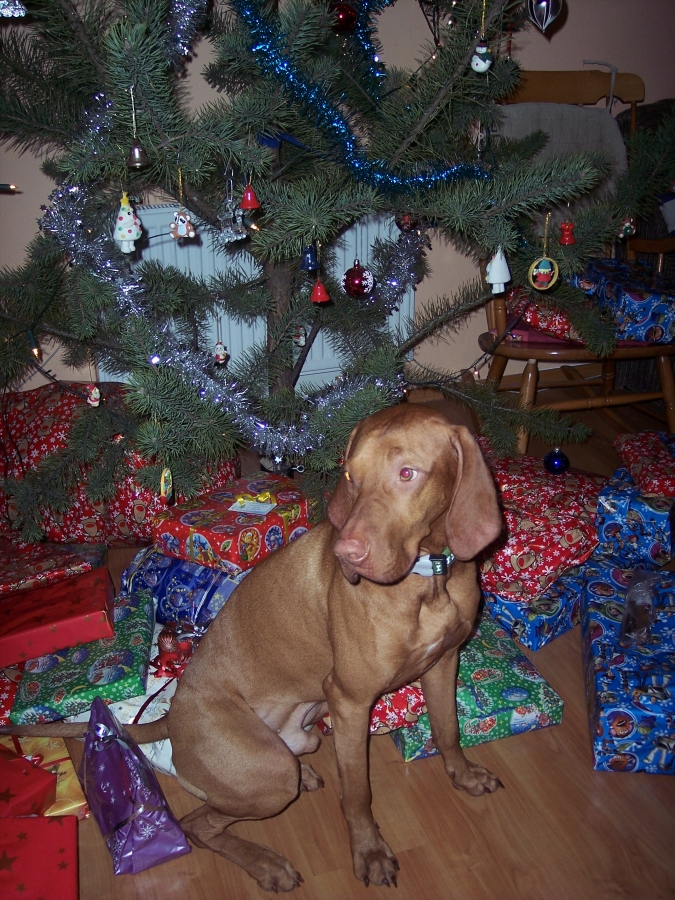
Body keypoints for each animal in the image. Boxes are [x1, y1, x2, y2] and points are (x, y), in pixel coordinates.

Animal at [3, 403, 503, 891]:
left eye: (407, 473)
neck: (430, 580)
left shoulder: (443, 663)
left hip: (301, 740)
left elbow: (447, 730)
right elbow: (357, 793)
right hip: (271, 772)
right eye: (349, 475)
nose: (346, 555)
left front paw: (464, 775)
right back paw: (267, 865)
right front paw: (369, 851)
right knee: (197, 825)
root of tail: (172, 718)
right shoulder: (350, 701)